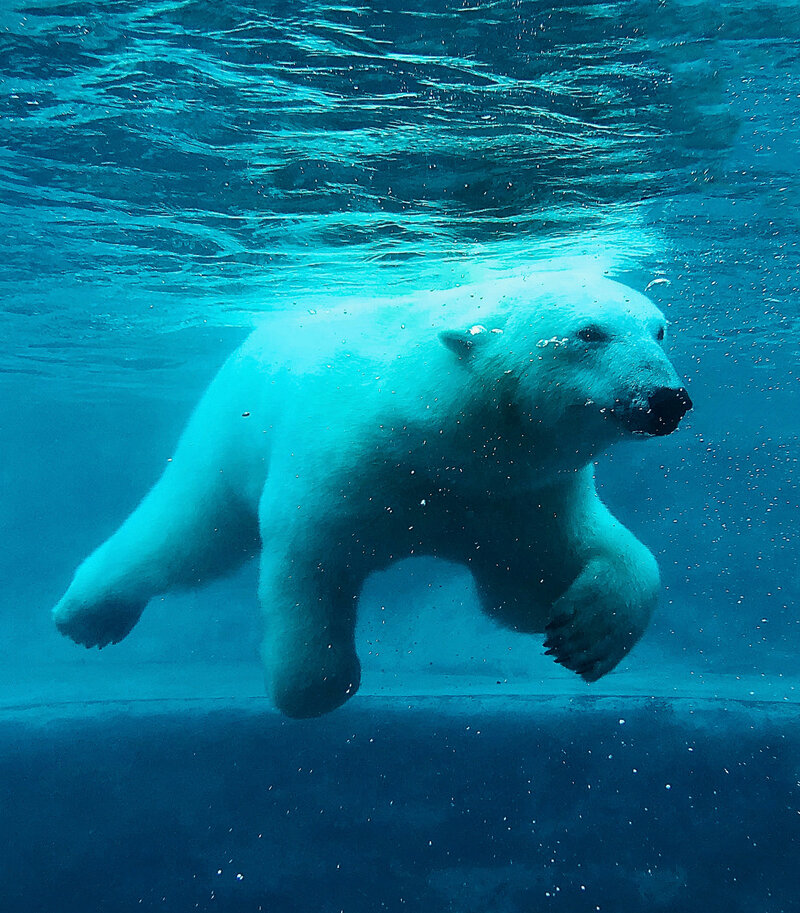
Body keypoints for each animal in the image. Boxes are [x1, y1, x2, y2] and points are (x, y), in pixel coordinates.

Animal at [53, 270, 692, 720]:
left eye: (659, 329)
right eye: (589, 333)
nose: (668, 399)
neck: (441, 439)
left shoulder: (517, 495)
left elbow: (538, 578)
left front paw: (584, 632)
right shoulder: (346, 466)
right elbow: (309, 564)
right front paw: (312, 688)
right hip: (229, 430)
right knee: (187, 532)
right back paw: (87, 616)